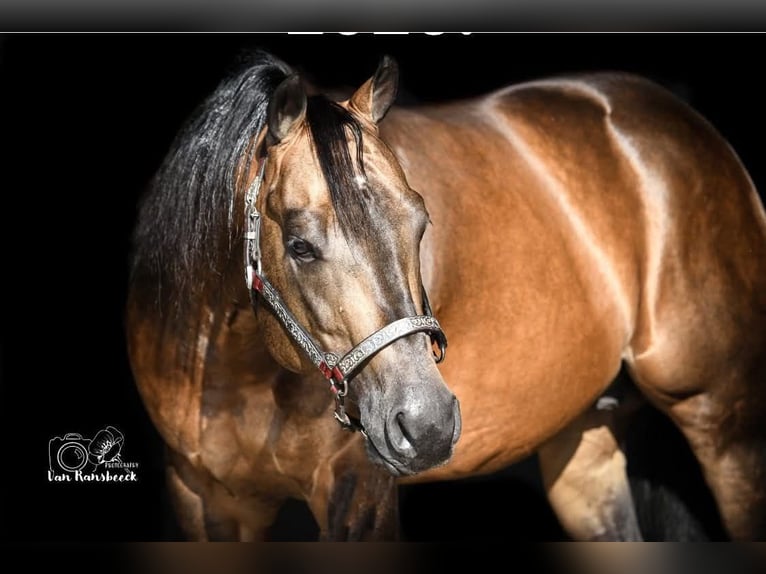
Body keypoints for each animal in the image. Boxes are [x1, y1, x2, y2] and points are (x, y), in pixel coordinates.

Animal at [125, 48, 766, 541]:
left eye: (421, 222)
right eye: (301, 245)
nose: (428, 425)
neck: (240, 373)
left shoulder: (357, 495)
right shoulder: (204, 497)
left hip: (727, 426)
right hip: (583, 446)